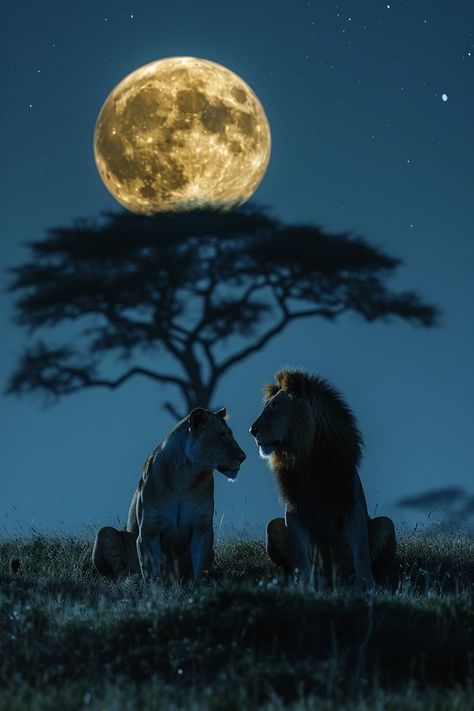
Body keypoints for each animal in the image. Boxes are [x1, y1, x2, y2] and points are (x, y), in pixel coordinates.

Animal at [94, 408, 246, 580]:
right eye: (222, 435)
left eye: (230, 434)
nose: (243, 457)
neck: (186, 476)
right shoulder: (149, 530)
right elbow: (151, 573)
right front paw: (154, 586)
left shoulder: (201, 528)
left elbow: (198, 569)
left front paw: (197, 584)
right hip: (104, 533)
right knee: (120, 571)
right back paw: (132, 579)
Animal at [250, 370, 394, 592]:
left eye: (275, 406)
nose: (252, 430)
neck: (307, 458)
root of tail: (335, 577)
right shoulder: (294, 510)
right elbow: (300, 556)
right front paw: (306, 585)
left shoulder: (350, 504)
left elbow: (361, 549)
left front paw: (366, 583)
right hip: (272, 527)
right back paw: (319, 580)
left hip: (386, 523)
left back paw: (350, 578)